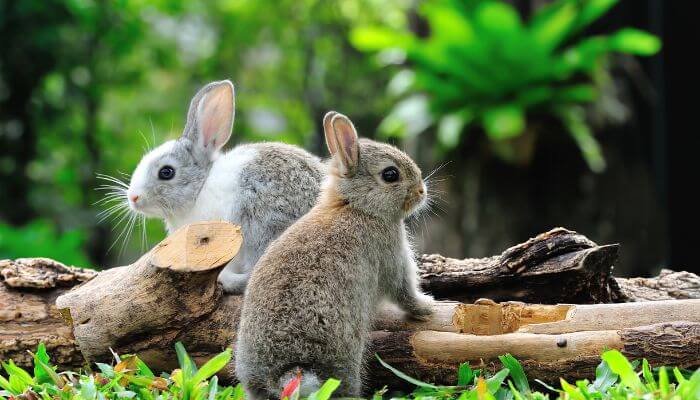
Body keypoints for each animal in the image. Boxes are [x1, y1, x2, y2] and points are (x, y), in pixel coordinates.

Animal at [235, 111, 434, 399]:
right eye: (390, 174)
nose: (421, 191)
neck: (356, 206)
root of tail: (288, 371)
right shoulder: (391, 255)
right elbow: (404, 292)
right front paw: (427, 307)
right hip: (344, 360)